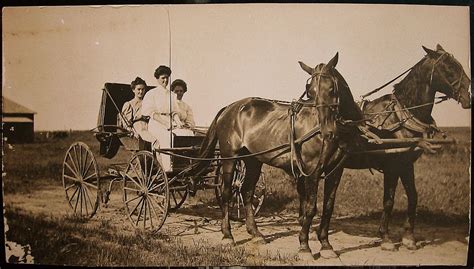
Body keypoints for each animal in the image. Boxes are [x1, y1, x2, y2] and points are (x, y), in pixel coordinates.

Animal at [193, 52, 356, 258]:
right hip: (230, 157)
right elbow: (311, 208)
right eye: (310, 92)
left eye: (332, 88)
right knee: (227, 193)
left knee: (246, 192)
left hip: (252, 161)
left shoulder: (336, 170)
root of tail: (229, 107)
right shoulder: (312, 170)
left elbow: (328, 207)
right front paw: (304, 246)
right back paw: (227, 235)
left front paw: (326, 245)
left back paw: (255, 233)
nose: (328, 131)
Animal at [312, 43, 470, 253]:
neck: (402, 116)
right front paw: (385, 238)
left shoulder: (406, 164)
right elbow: (388, 201)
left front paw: (409, 237)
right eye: (449, 68)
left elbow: (413, 196)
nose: (469, 96)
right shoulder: (392, 166)